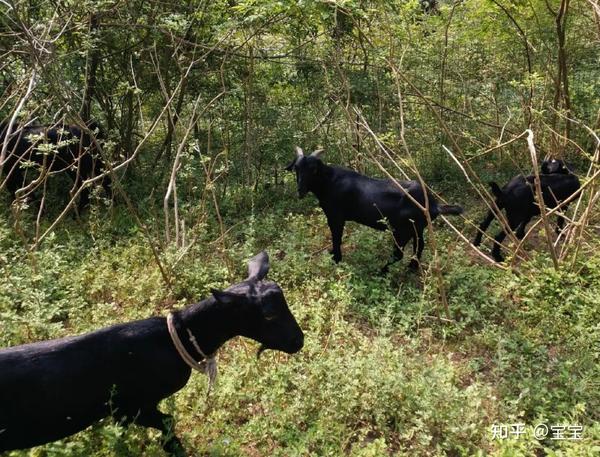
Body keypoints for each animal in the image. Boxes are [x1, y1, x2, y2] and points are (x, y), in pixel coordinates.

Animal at [0, 251, 304, 454]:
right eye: (268, 314)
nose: (298, 340)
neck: (176, 336)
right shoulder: (131, 406)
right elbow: (168, 423)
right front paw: (174, 450)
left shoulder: (124, 413)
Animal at [286, 146, 464, 268]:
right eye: (296, 168)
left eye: (314, 169)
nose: (300, 190)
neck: (330, 181)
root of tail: (433, 204)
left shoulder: (336, 217)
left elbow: (336, 238)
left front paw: (336, 259)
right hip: (416, 228)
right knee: (419, 246)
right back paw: (411, 267)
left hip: (402, 231)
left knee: (398, 254)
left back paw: (382, 271)